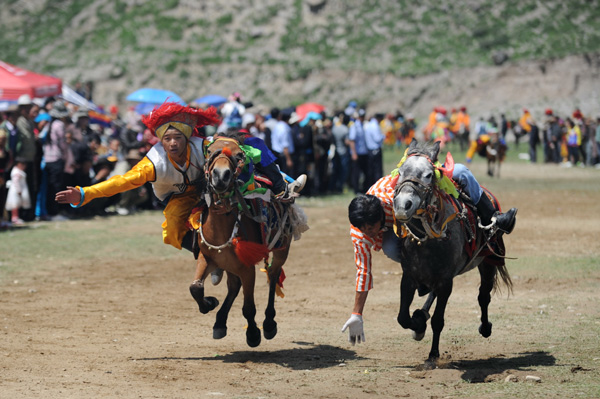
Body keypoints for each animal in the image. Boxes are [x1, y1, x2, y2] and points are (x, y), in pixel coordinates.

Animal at [189, 136, 296, 348]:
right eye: (209, 151)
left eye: (239, 155)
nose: (220, 175)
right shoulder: (208, 257)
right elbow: (195, 288)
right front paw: (209, 303)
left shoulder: (247, 268)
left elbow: (248, 307)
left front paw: (253, 333)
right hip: (229, 264)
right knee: (233, 286)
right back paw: (220, 322)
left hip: (281, 249)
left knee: (273, 275)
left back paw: (269, 323)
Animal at [394, 140, 510, 368]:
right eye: (401, 172)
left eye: (429, 174)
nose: (403, 205)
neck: (429, 239)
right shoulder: (409, 276)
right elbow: (403, 317)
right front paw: (418, 325)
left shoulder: (446, 280)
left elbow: (438, 320)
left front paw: (433, 355)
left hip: (488, 261)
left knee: (483, 296)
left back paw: (485, 328)